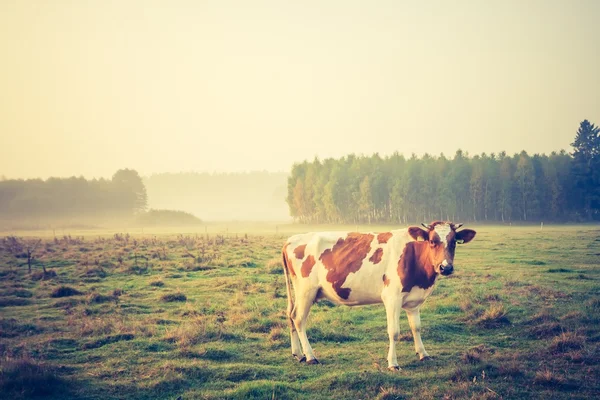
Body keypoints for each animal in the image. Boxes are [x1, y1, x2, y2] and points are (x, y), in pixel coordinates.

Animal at [282, 220, 478, 370]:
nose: (446, 267)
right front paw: (393, 363)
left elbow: (416, 327)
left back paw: (298, 354)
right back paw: (310, 356)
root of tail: (291, 239)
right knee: (298, 319)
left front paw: (423, 354)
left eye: (454, 242)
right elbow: (394, 331)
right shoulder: (392, 297)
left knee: (290, 315)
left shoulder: (413, 301)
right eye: (432, 241)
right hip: (306, 291)